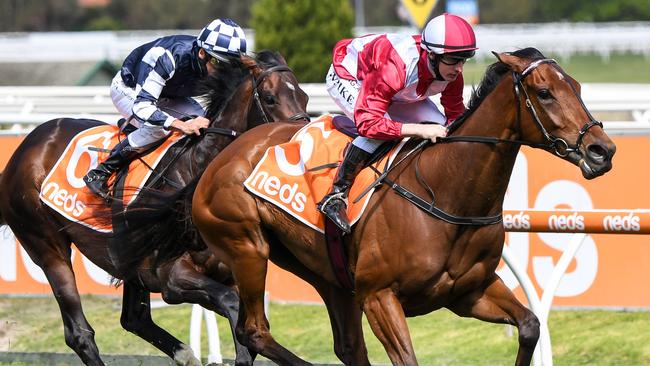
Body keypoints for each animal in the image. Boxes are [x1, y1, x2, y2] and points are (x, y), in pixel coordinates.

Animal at [0, 51, 308, 366]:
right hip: (46, 244)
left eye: (305, 96)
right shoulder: (172, 278)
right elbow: (232, 307)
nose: (296, 140)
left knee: (133, 319)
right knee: (79, 333)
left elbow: (245, 338)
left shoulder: (229, 271)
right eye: (270, 98)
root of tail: (26, 148)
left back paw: (186, 354)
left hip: (128, 263)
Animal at [185, 47, 616, 364]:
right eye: (544, 93)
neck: (446, 191)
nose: (603, 150)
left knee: (347, 346)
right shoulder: (380, 297)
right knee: (254, 331)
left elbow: (529, 325)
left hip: (326, 274)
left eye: (577, 87)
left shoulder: (469, 292)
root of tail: (227, 152)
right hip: (247, 247)